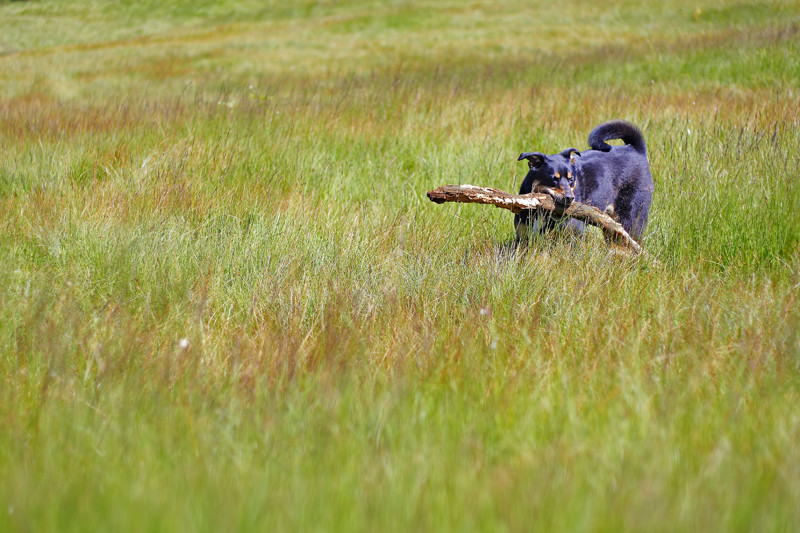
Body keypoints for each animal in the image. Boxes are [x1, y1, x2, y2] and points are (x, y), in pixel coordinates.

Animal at [516, 120, 652, 241]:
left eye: (571, 179)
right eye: (554, 179)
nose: (570, 198)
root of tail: (636, 149)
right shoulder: (522, 237)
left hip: (631, 219)